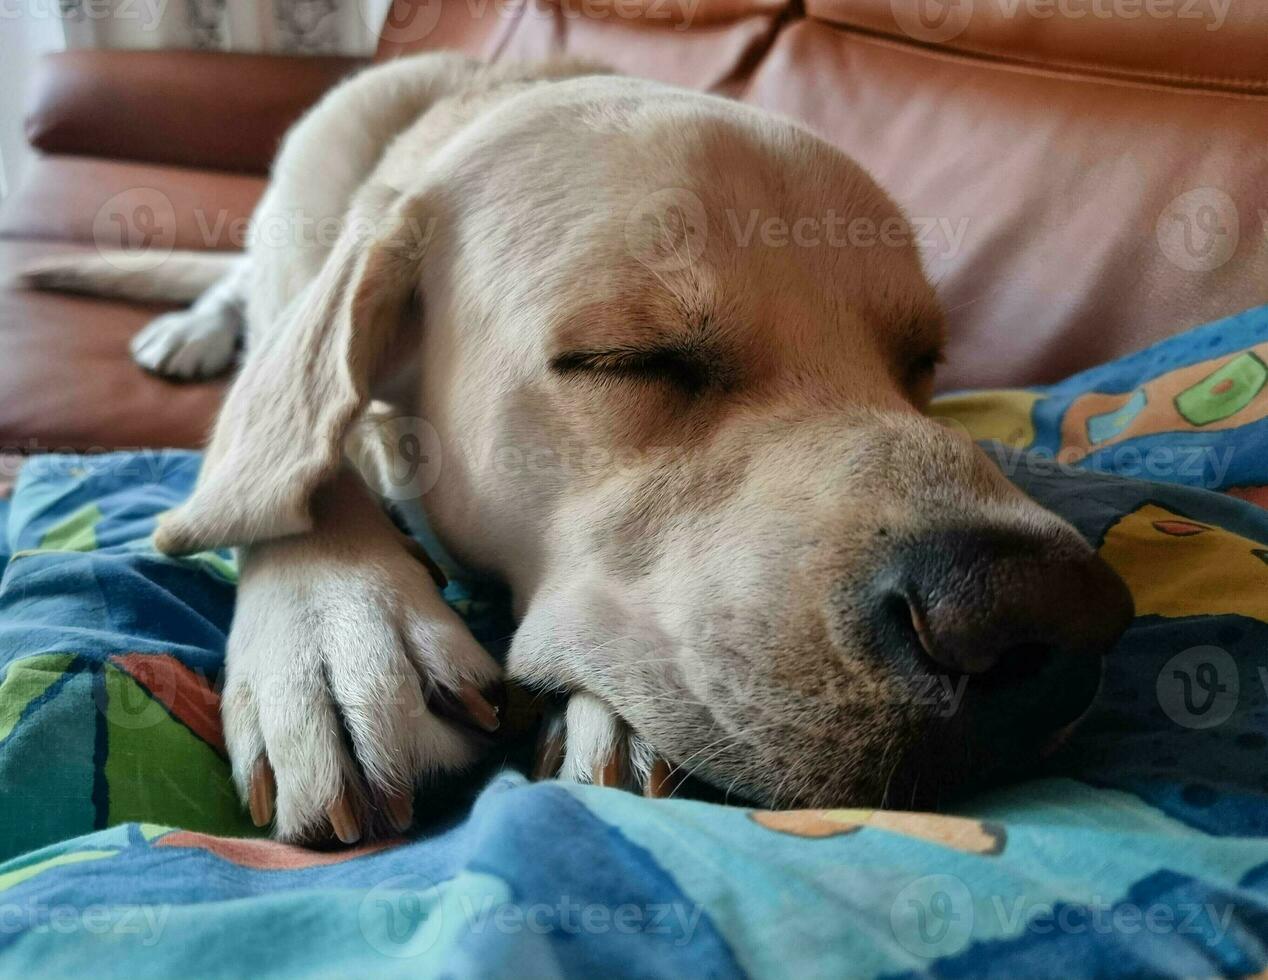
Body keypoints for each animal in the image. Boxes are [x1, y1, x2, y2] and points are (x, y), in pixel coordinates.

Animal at [22, 55, 1131, 841]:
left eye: (920, 364)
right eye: (629, 359)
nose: (1038, 611)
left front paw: (618, 717)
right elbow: (299, 455)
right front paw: (335, 630)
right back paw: (197, 329)